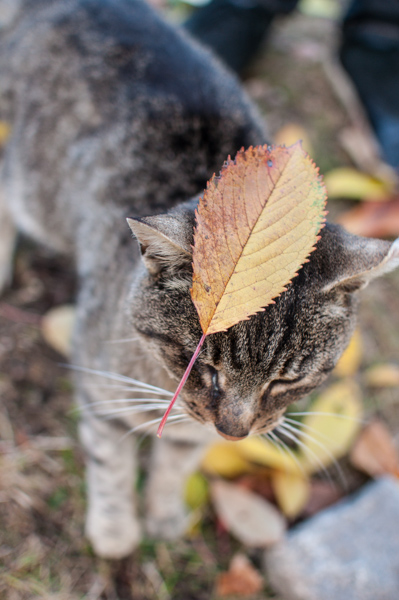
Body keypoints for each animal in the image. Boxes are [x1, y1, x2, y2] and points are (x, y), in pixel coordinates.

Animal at [0, 0, 399, 556]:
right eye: (203, 368)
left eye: (287, 380)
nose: (234, 432)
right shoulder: (100, 381)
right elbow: (110, 460)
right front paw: (116, 529)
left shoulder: (194, 433)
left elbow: (176, 463)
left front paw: (164, 515)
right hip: (38, 192)